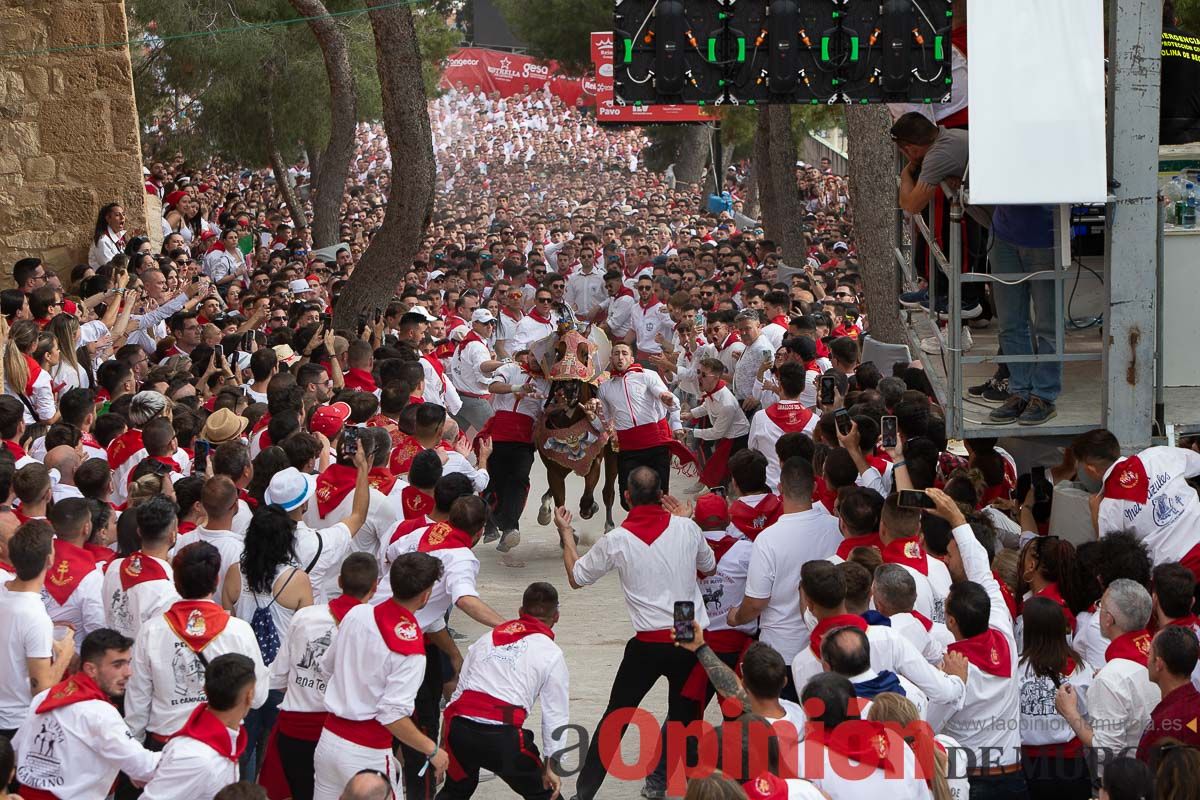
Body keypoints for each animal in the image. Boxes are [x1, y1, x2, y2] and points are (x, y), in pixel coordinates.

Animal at [535, 379, 619, 534]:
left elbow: (587, 499)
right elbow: (560, 504)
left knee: (608, 491)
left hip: (612, 453)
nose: (562, 393)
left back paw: (609, 525)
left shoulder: (594, 462)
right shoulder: (554, 470)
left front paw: (591, 507)